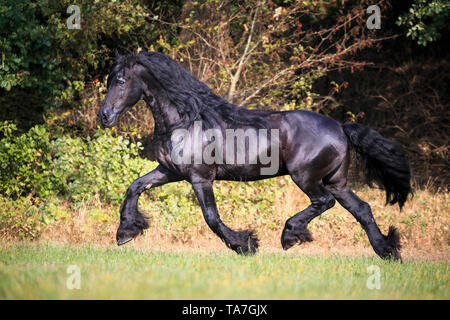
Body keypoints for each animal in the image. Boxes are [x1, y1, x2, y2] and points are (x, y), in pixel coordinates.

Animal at [98, 52, 412, 260]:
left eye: (121, 81)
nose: (104, 116)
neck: (184, 119)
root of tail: (340, 127)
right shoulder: (170, 171)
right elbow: (134, 187)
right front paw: (125, 232)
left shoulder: (200, 178)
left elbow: (211, 217)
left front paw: (245, 244)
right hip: (337, 181)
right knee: (362, 210)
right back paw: (388, 251)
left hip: (306, 177)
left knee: (324, 202)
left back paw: (290, 235)